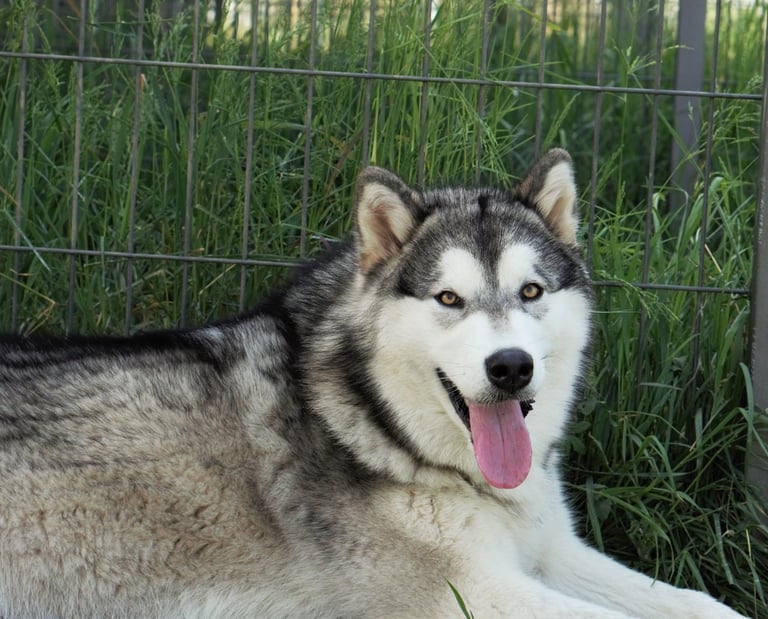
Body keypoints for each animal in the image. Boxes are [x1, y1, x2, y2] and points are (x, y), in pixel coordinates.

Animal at [0, 149, 744, 618]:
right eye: (448, 298)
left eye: (531, 290)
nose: (510, 366)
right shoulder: (468, 592)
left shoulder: (551, 551)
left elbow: (697, 602)